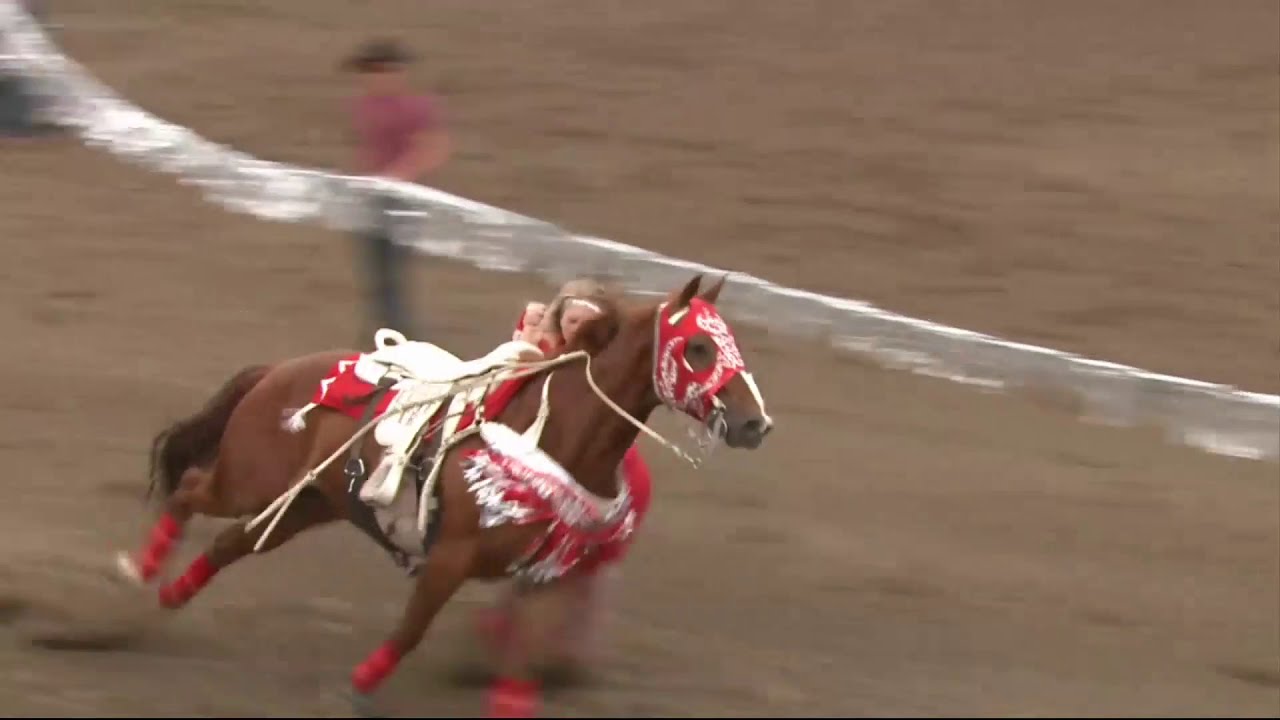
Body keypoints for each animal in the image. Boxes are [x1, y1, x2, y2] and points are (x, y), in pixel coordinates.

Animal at [115, 272, 768, 712]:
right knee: (188, 493)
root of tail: (279, 370)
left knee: (227, 544)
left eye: (730, 341)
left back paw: (168, 597)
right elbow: (410, 631)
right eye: (698, 347)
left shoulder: (543, 575)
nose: (754, 423)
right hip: (250, 479)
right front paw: (355, 689)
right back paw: (136, 582)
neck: (553, 439)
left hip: (304, 504)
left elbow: (520, 663)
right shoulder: (449, 558)